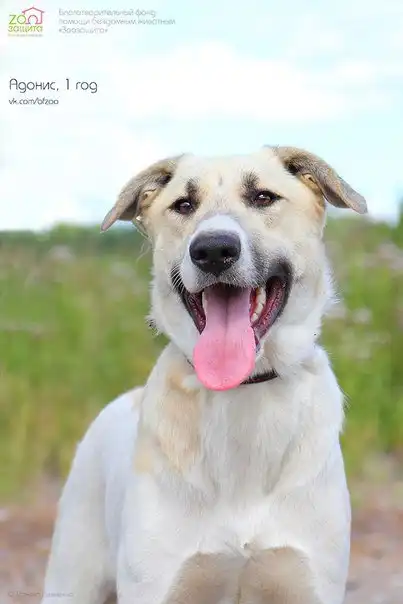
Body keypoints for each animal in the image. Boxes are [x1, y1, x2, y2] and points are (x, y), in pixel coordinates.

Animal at [41, 146, 367, 604]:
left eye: (263, 197)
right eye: (184, 205)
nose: (213, 249)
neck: (244, 393)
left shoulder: (310, 582)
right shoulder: (155, 585)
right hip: (71, 576)